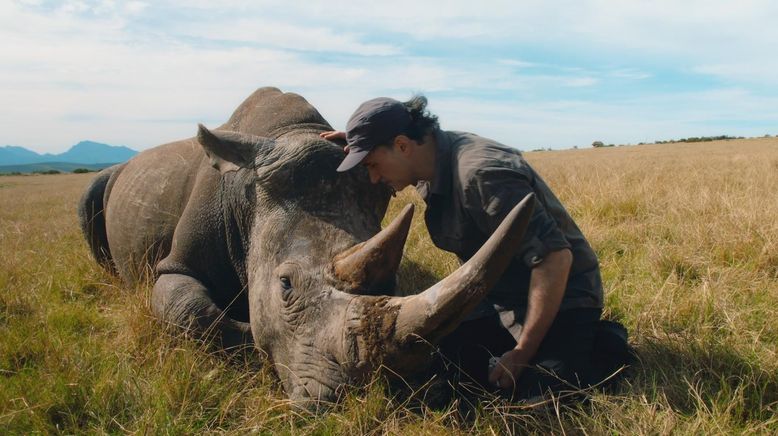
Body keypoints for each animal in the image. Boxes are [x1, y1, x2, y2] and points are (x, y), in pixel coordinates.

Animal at [79, 87, 532, 408]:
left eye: (392, 281)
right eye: (285, 285)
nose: (365, 394)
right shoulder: (178, 264)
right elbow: (191, 310)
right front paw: (249, 335)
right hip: (108, 180)